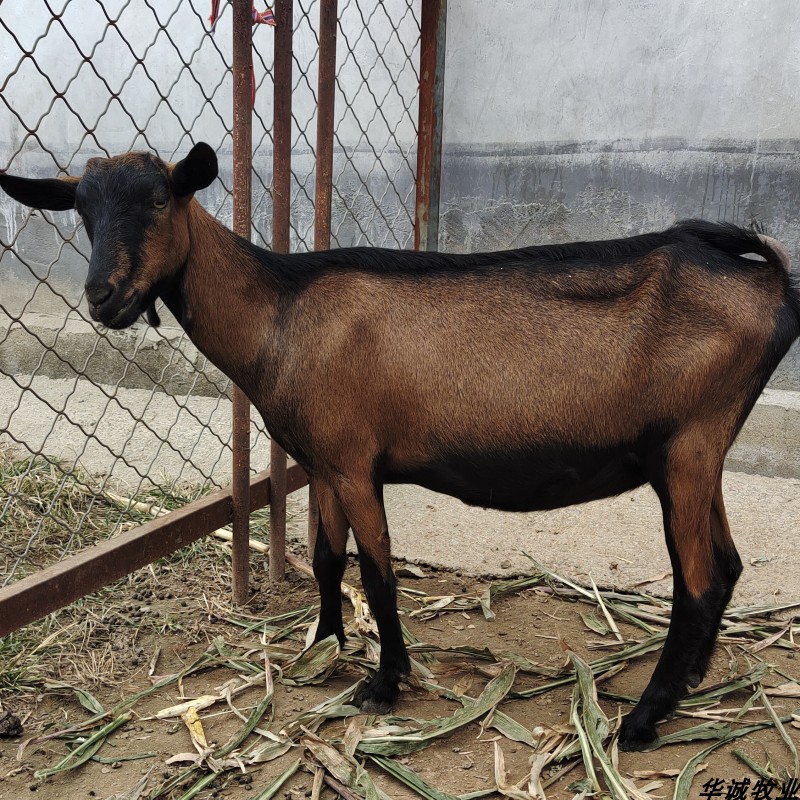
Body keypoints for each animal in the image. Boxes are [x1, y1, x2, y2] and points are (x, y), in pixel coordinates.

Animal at [3, 144, 796, 752]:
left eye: (161, 199)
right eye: (83, 211)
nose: (103, 296)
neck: (281, 312)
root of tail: (772, 281)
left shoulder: (357, 463)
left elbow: (378, 571)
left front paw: (383, 683)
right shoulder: (322, 461)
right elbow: (327, 558)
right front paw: (324, 645)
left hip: (687, 446)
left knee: (698, 581)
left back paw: (641, 719)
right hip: (701, 451)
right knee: (727, 565)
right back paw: (689, 680)